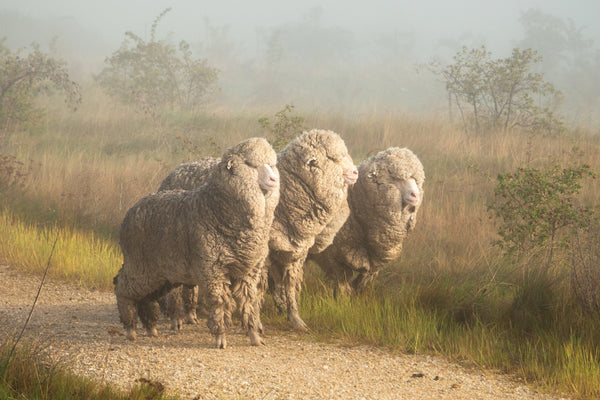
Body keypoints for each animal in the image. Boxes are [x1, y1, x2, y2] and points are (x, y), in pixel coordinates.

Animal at [113, 137, 280, 346]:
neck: (215, 209)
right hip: (139, 266)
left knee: (146, 296)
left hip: (162, 274)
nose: (274, 180)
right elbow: (220, 302)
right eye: (250, 164)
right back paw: (130, 329)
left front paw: (255, 337)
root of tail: (132, 209)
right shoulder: (212, 270)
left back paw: (150, 327)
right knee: (122, 287)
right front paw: (220, 337)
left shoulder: (248, 271)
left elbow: (249, 303)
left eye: (272, 165)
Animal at [308, 146, 424, 294]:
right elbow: (342, 282)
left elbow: (363, 281)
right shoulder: (330, 256)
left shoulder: (375, 262)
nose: (416, 195)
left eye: (416, 180)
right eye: (395, 178)